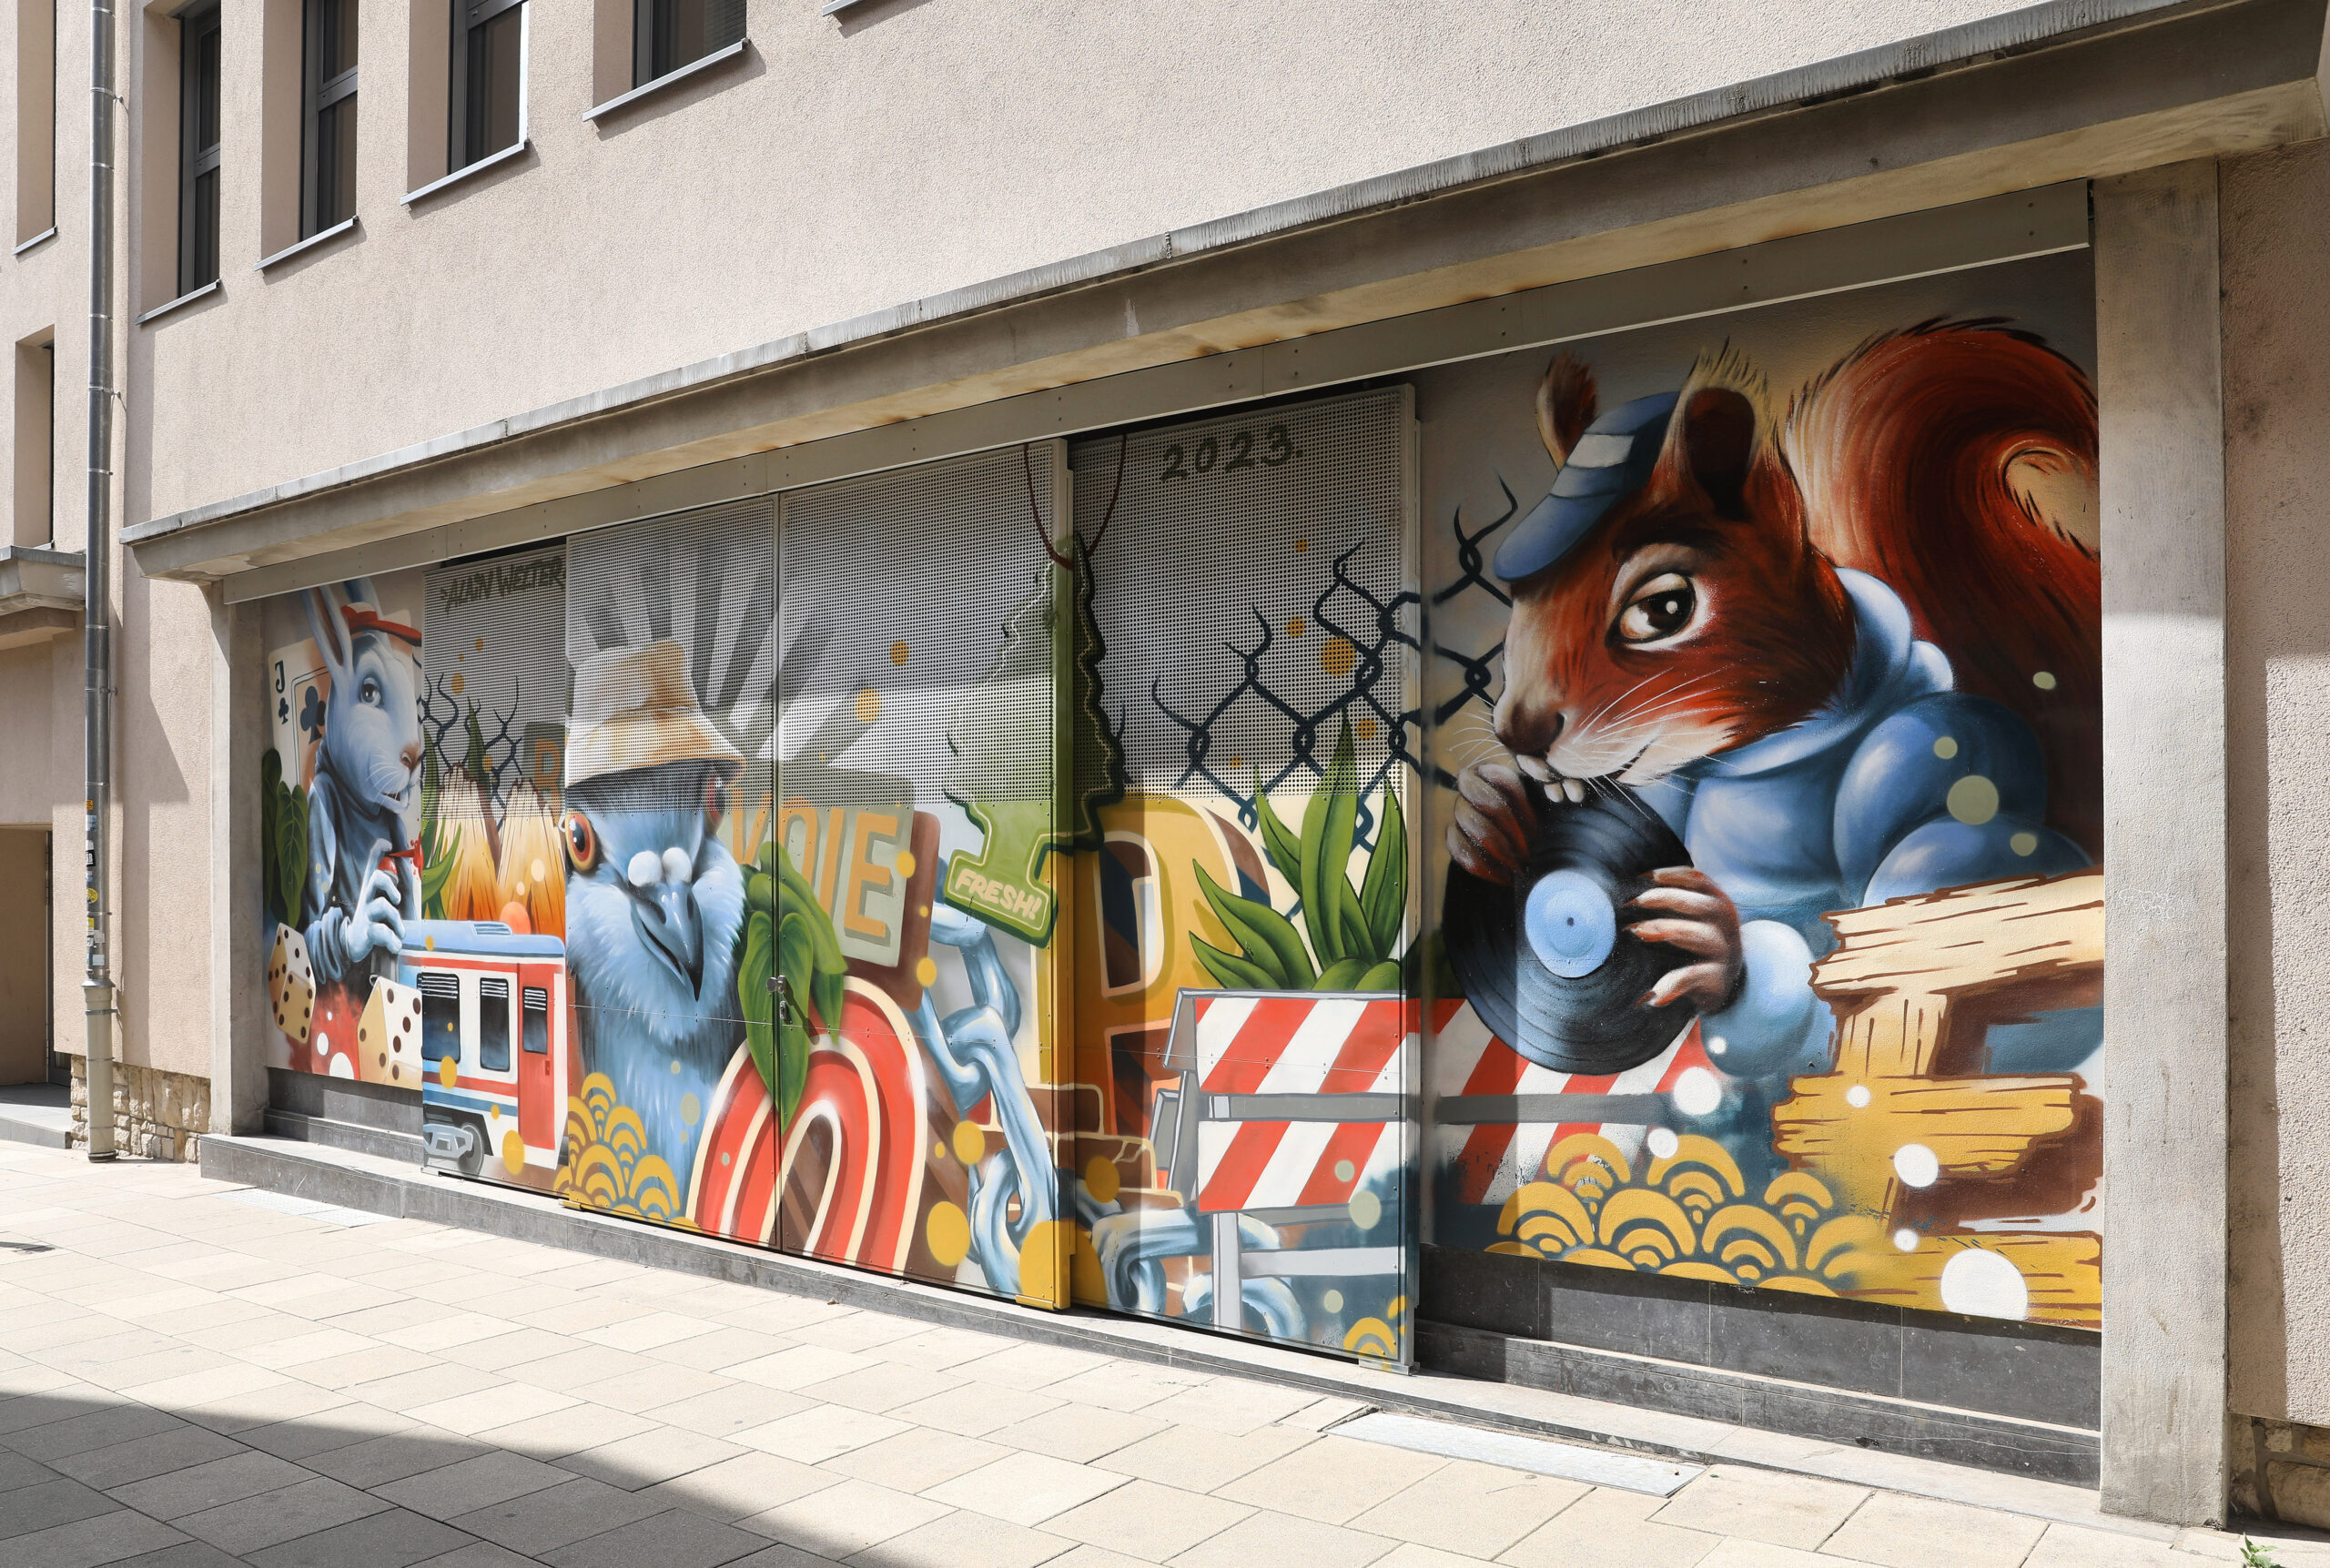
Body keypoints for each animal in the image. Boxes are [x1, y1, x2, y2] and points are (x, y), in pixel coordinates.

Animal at [1447, 320, 2100, 1082]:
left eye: (1665, 608)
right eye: (1518, 596)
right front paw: (1484, 811)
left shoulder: (1945, 753)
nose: (1518, 732)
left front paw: (1718, 955)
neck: (1742, 759)